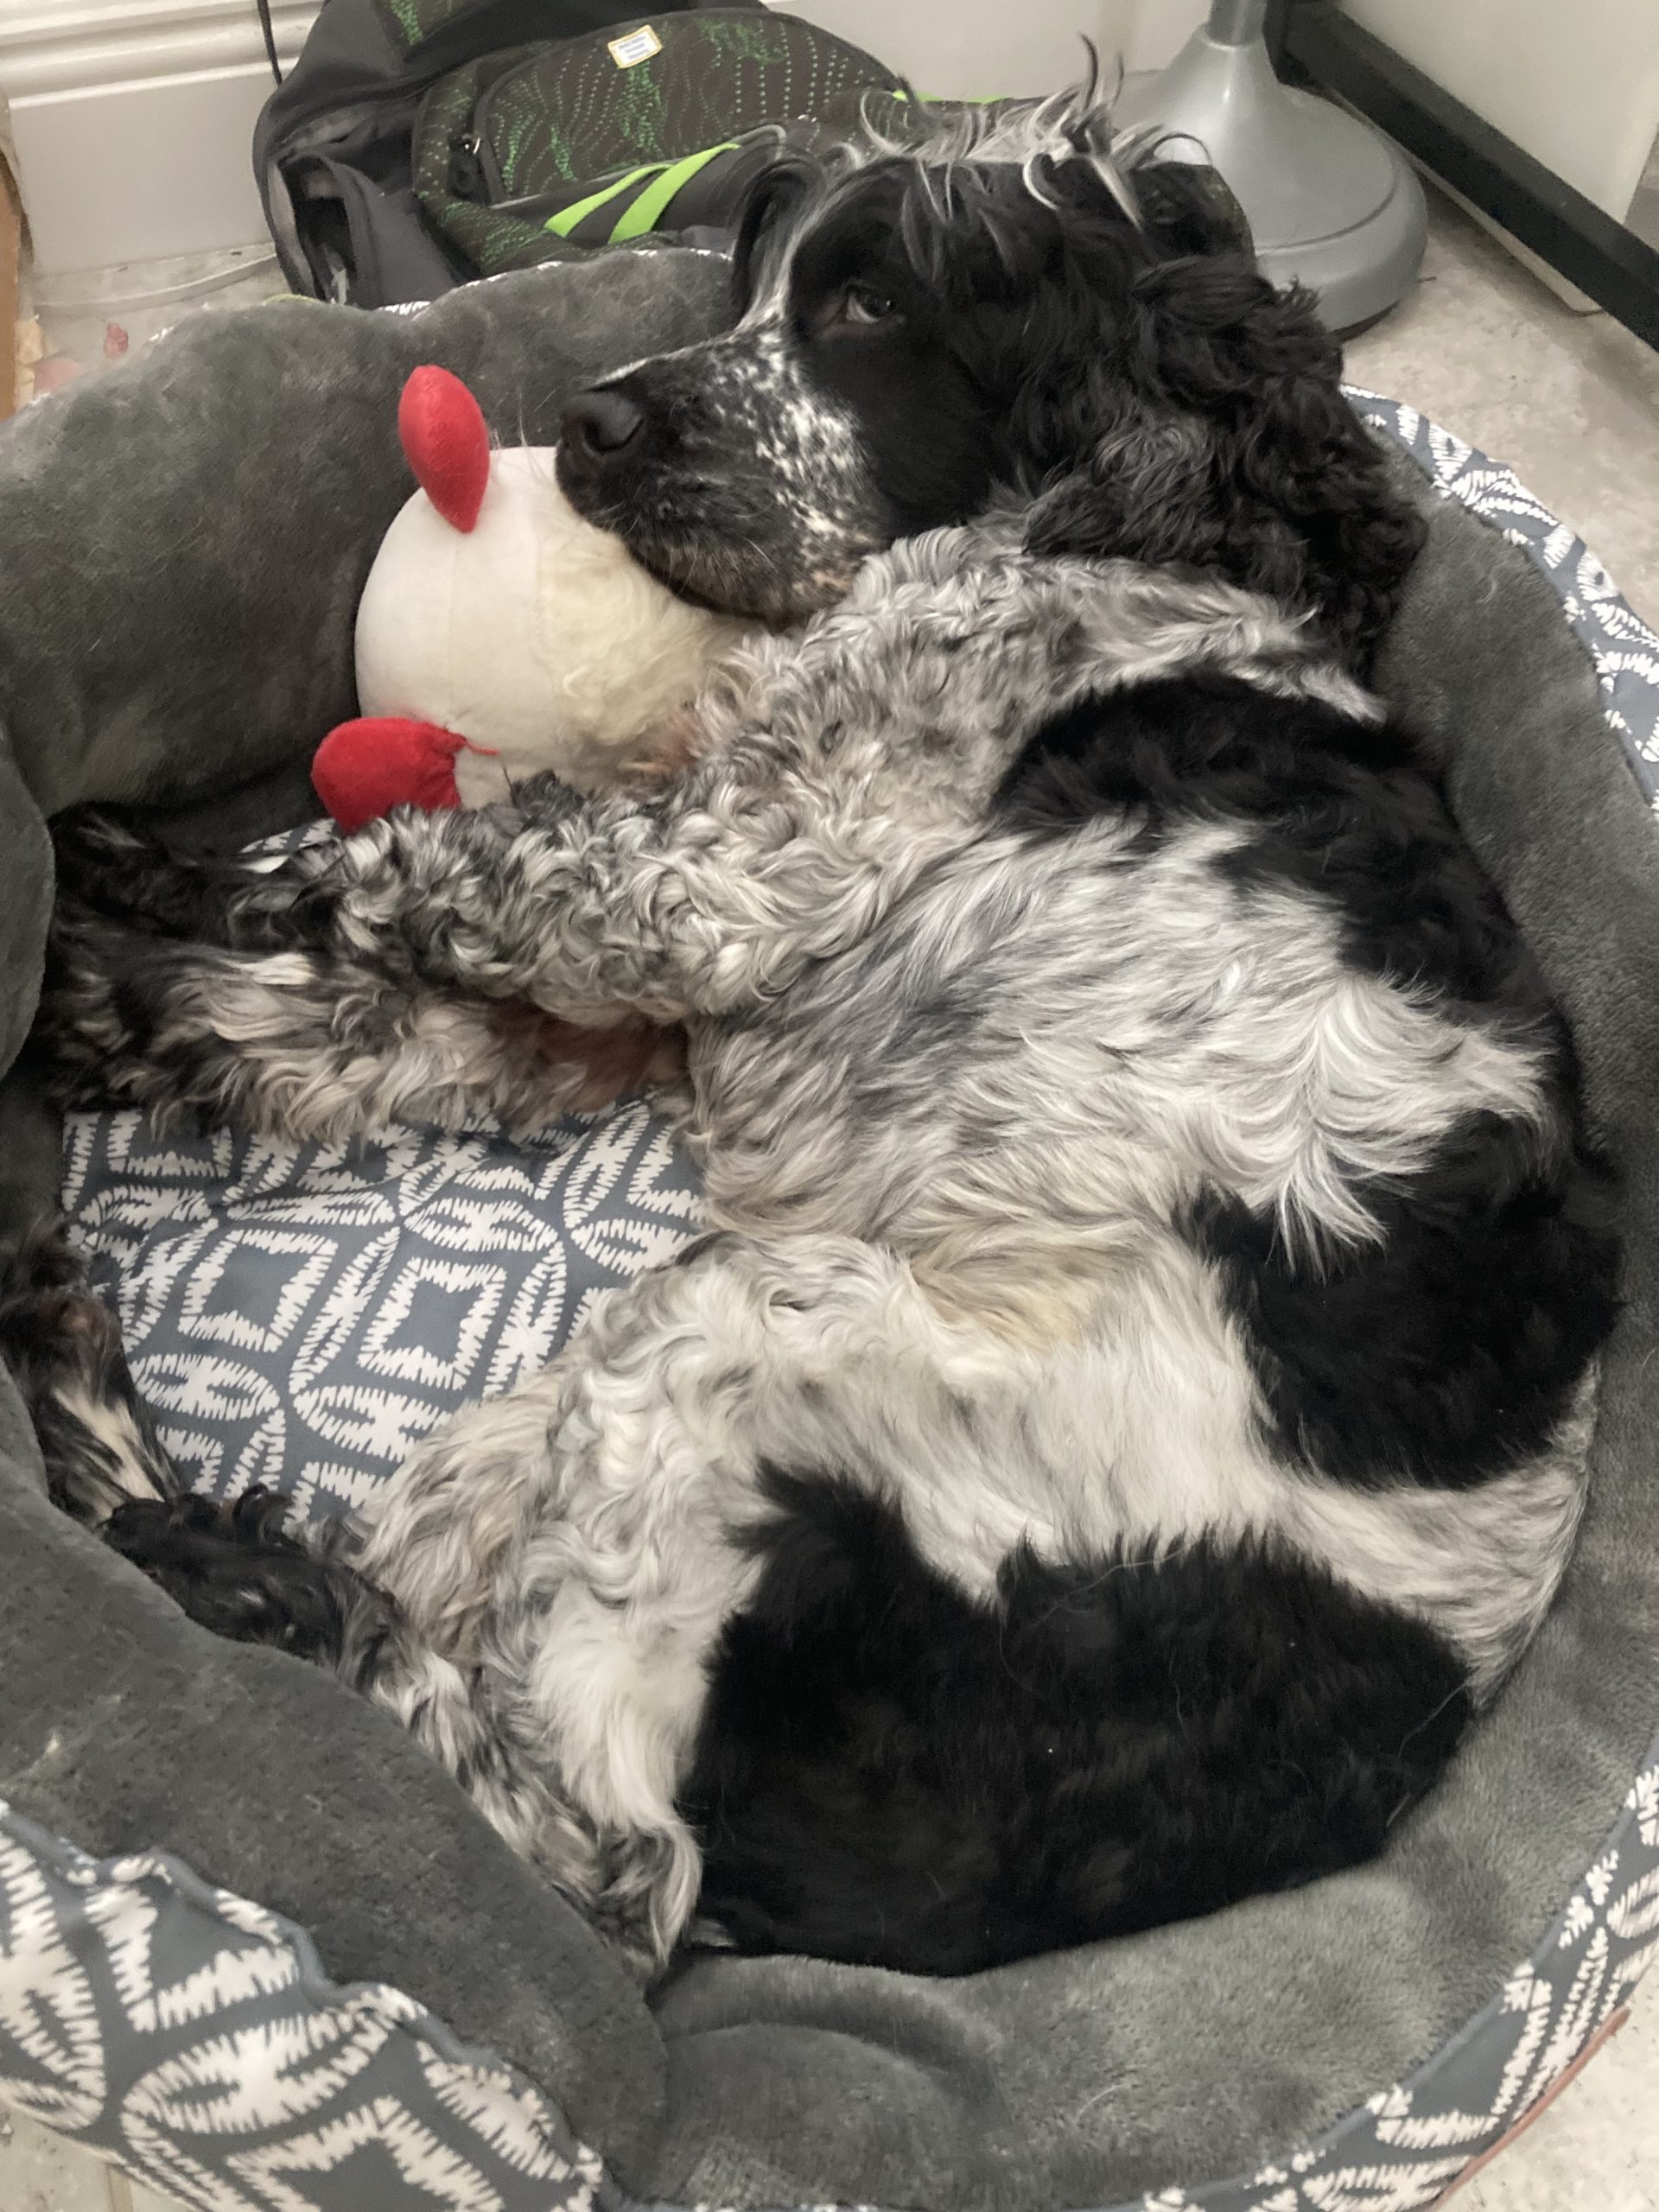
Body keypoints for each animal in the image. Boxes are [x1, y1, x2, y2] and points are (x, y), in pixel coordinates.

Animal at [3, 90, 1628, 1991]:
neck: (1119, 539)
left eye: (867, 311)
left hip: (740, 1365)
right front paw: (94, 994)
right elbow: (378, 1004)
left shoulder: (718, 881)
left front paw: (125, 885)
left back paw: (198, 1530)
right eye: (762, 281)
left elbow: (398, 864)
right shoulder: (667, 1005)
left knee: (596, 1864)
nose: (590, 420)